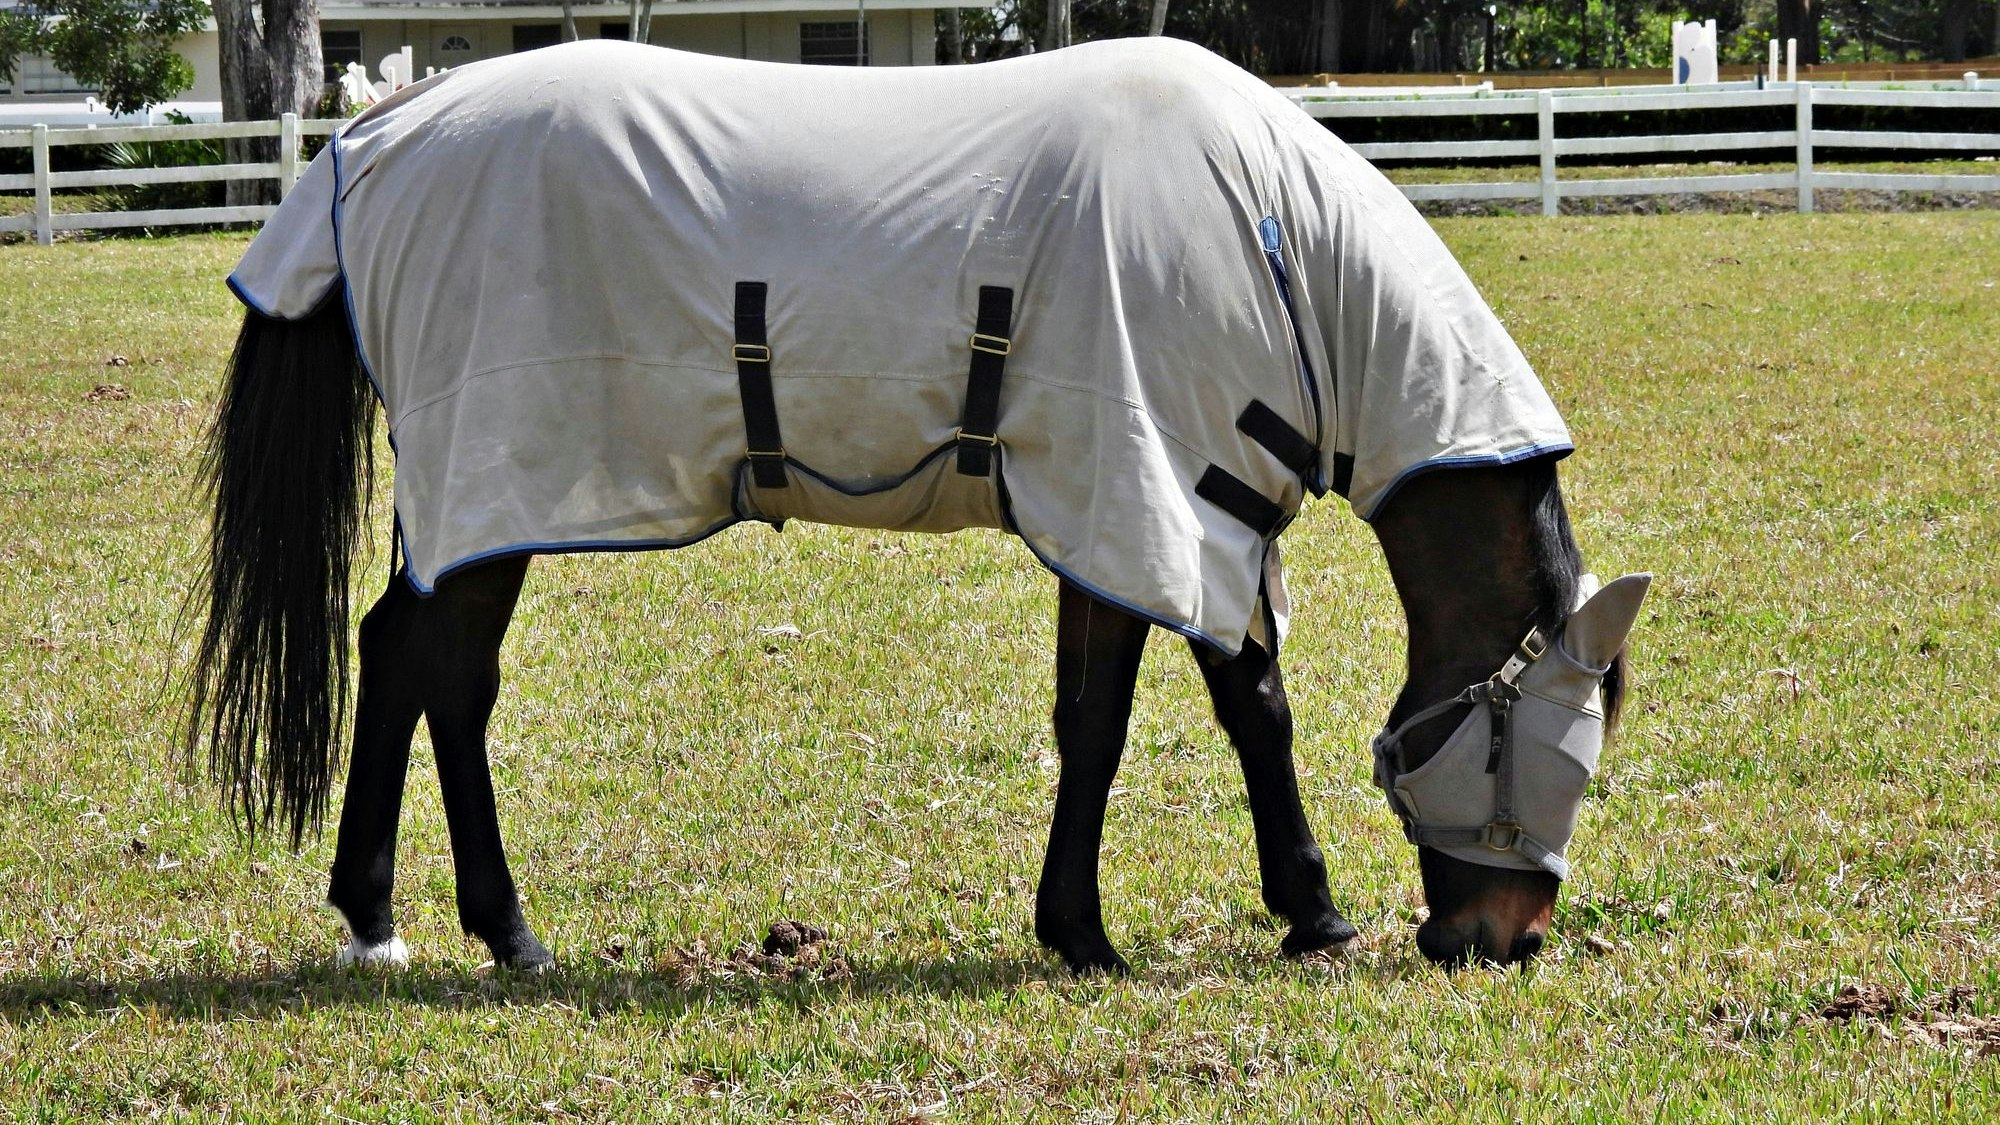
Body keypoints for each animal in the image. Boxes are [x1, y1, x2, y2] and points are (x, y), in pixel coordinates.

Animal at [180, 39, 1648, 968]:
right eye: (1555, 751)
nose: (1503, 943)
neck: (1279, 250)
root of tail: (376, 134)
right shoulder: (1171, 501)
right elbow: (1249, 711)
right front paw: (1306, 913)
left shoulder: (1127, 515)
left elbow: (1093, 723)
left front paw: (1078, 930)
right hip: (500, 484)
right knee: (450, 674)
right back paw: (504, 929)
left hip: (466, 501)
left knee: (400, 655)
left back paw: (381, 916)